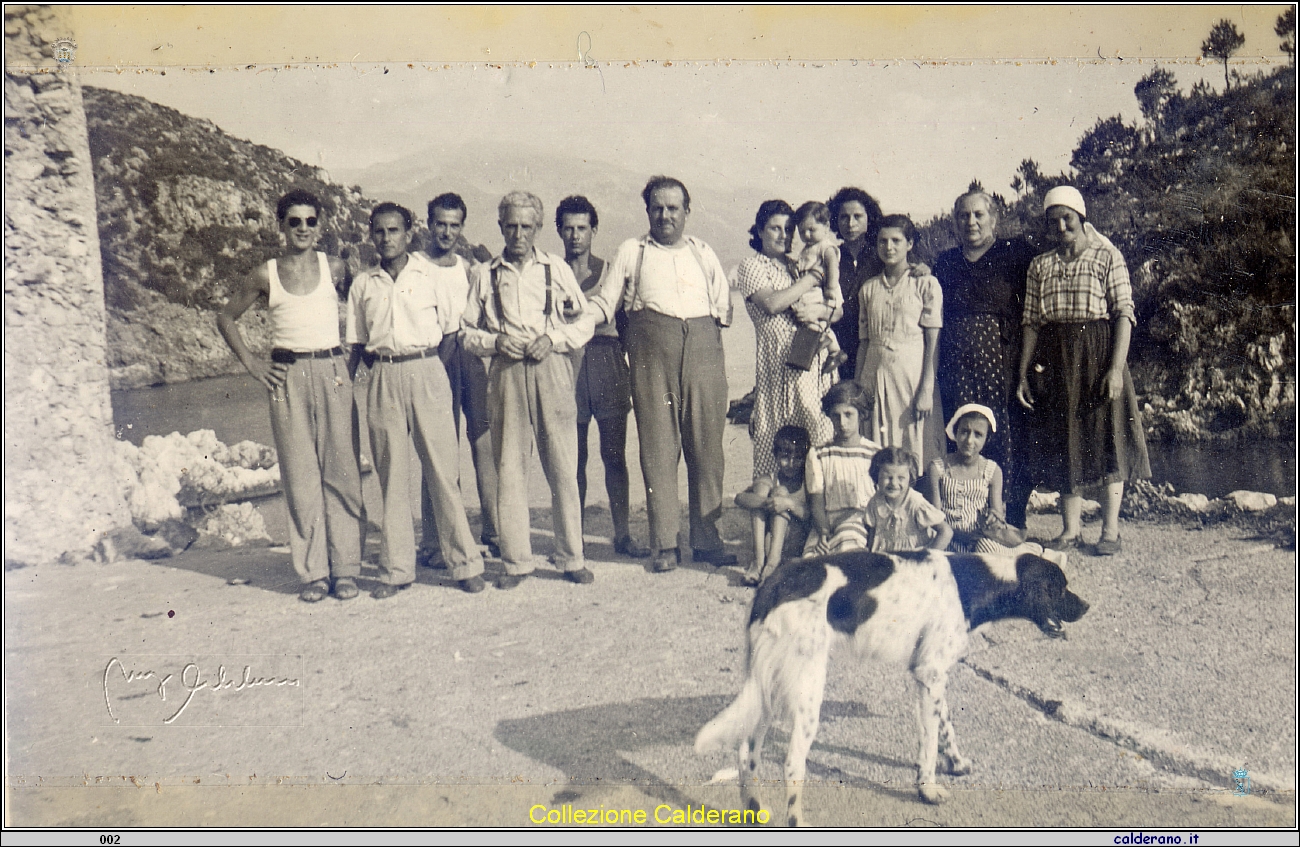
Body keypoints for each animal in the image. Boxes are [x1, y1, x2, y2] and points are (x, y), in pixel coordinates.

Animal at [696, 548, 1092, 826]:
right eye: (1059, 588)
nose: (1088, 607)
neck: (977, 583)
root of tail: (773, 585)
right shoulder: (930, 674)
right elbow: (929, 744)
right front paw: (928, 789)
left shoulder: (930, 674)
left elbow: (945, 727)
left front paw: (956, 763)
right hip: (806, 691)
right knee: (792, 765)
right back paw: (796, 822)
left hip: (767, 690)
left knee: (746, 756)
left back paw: (754, 811)